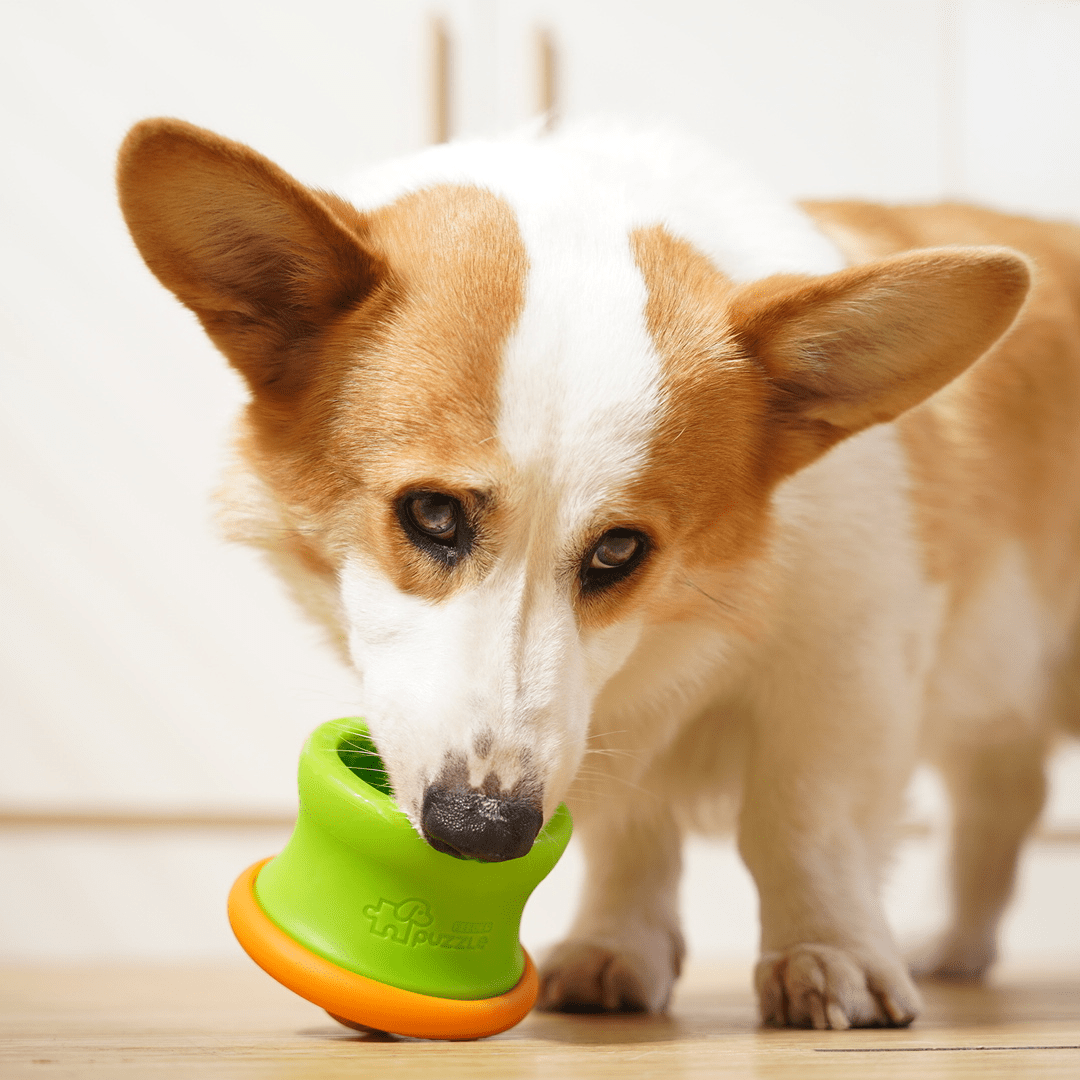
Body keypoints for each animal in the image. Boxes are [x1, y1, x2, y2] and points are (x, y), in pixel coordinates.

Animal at [118, 118, 1080, 1028]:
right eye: (431, 514)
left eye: (620, 550)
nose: (482, 833)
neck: (693, 622)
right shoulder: (604, 729)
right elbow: (632, 835)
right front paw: (615, 948)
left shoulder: (846, 673)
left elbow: (802, 824)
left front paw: (828, 956)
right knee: (1008, 793)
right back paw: (954, 944)